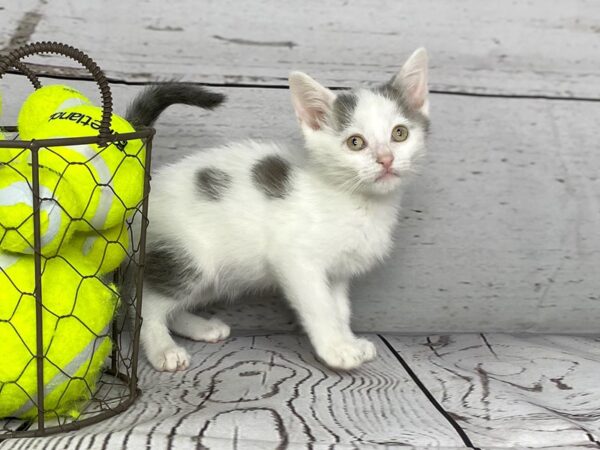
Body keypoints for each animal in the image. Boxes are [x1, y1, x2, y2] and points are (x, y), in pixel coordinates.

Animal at [130, 48, 432, 372]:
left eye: (399, 134)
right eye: (355, 142)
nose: (386, 159)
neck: (356, 200)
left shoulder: (338, 272)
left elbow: (339, 308)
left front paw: (348, 339)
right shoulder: (296, 259)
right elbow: (321, 306)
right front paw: (336, 349)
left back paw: (202, 327)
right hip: (188, 256)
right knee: (144, 302)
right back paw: (163, 349)